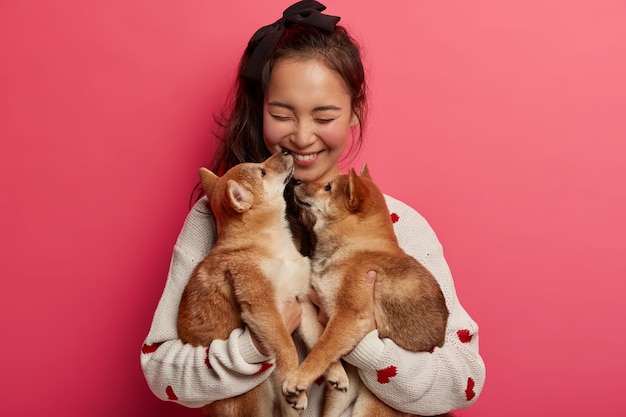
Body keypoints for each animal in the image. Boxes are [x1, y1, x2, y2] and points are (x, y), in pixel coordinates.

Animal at [178, 152, 320, 416]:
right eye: (262, 172)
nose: (286, 151)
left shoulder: (302, 301)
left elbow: (318, 340)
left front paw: (335, 374)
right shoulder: (263, 307)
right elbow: (287, 348)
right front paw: (296, 380)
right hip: (254, 397)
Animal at [286, 165, 450, 416]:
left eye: (328, 187)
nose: (294, 181)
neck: (354, 245)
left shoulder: (348, 315)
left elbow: (322, 348)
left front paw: (299, 377)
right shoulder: (312, 303)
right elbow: (319, 343)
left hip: (372, 408)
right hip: (337, 400)